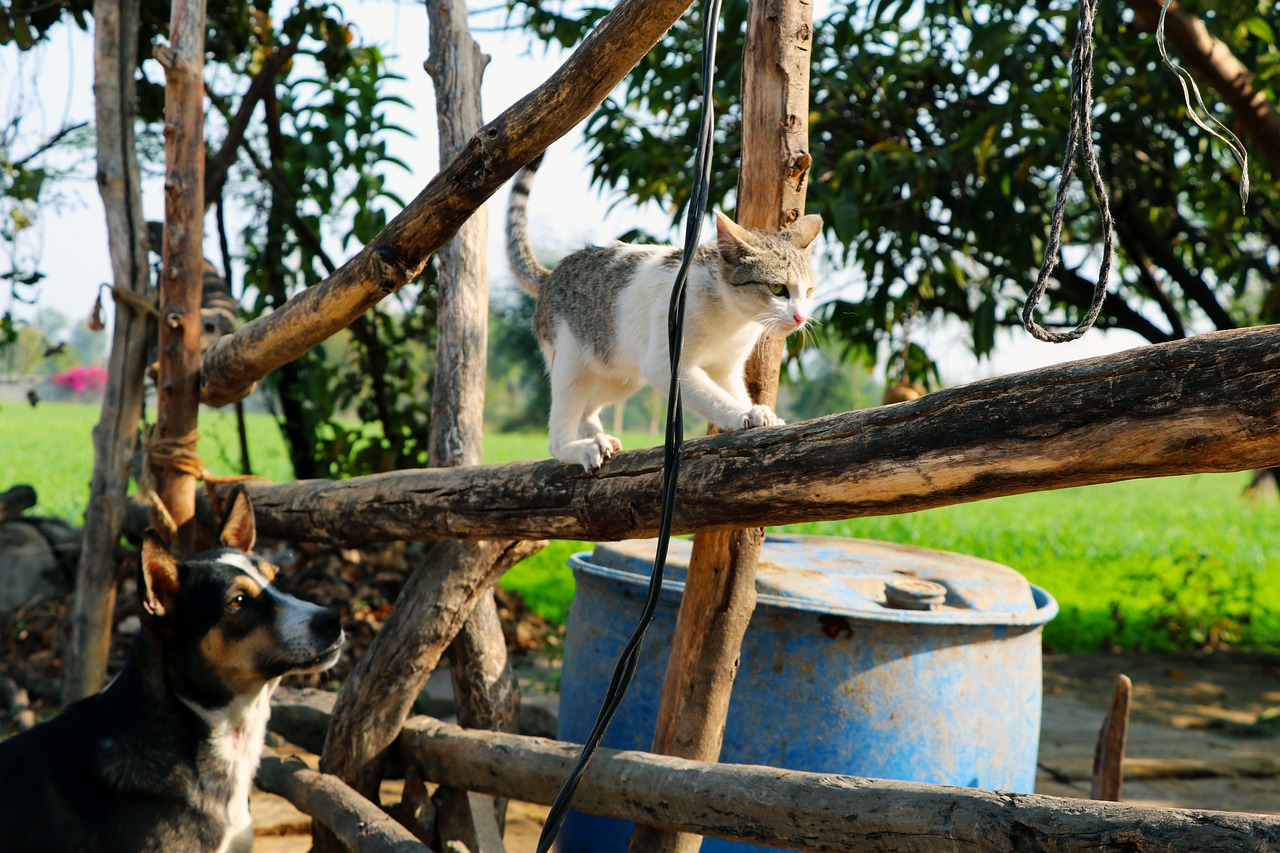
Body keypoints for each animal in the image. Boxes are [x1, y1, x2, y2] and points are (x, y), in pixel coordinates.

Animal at [504, 153, 824, 471]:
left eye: (808, 292)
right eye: (777, 289)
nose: (800, 317)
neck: (733, 319)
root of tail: (550, 276)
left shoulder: (727, 367)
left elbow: (729, 389)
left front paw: (757, 411)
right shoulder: (666, 363)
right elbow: (712, 397)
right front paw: (744, 414)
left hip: (619, 372)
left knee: (587, 409)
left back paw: (598, 436)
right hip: (573, 361)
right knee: (558, 434)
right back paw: (582, 447)